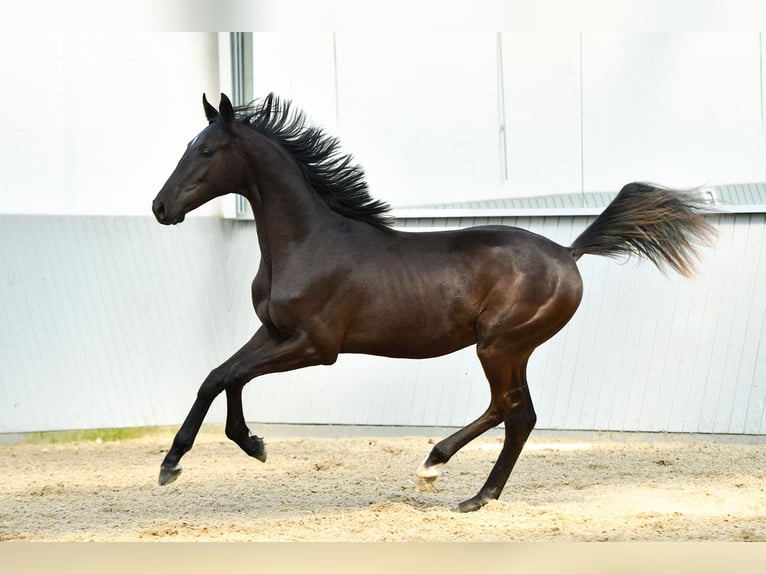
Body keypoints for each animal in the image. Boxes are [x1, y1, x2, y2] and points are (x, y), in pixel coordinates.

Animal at [153, 93, 716, 512]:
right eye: (188, 145)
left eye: (206, 152)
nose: (160, 207)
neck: (309, 243)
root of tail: (568, 251)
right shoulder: (272, 333)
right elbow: (218, 377)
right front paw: (195, 457)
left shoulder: (315, 345)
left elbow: (231, 375)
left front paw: (218, 452)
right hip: (515, 349)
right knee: (522, 416)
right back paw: (479, 498)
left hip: (498, 346)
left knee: (506, 407)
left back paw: (433, 464)